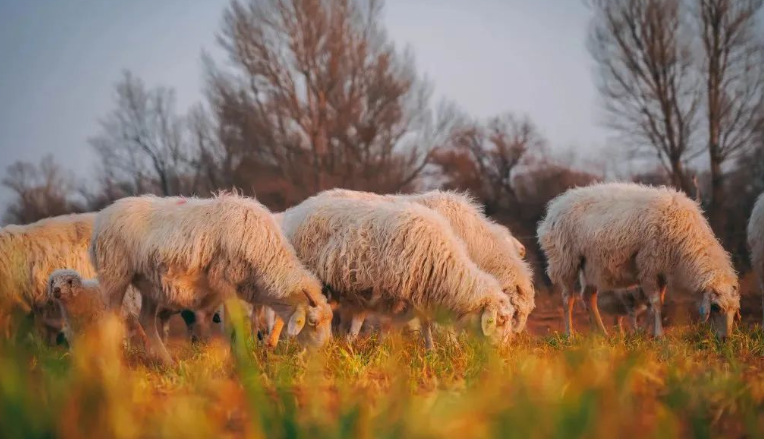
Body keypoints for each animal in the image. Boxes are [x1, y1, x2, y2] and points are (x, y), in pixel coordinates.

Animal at [89, 195, 332, 364]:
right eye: (312, 322)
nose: (325, 352)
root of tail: (103, 216)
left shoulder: (227, 290)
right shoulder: (224, 283)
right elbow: (232, 326)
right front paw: (239, 361)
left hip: (149, 284)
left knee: (146, 320)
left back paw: (168, 362)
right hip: (115, 275)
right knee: (111, 319)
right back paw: (113, 363)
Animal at [278, 196, 516, 348]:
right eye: (502, 320)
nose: (503, 352)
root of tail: (295, 212)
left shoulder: (419, 296)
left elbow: (425, 325)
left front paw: (431, 350)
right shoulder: (393, 295)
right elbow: (388, 325)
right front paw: (384, 351)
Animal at [536, 182, 740, 340]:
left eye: (735, 310)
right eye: (715, 307)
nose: (725, 339)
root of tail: (556, 206)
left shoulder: (660, 271)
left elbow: (657, 303)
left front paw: (647, 333)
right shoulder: (649, 265)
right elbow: (656, 302)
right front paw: (659, 336)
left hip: (592, 265)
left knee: (588, 297)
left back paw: (601, 334)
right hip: (566, 261)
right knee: (567, 299)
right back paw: (570, 334)